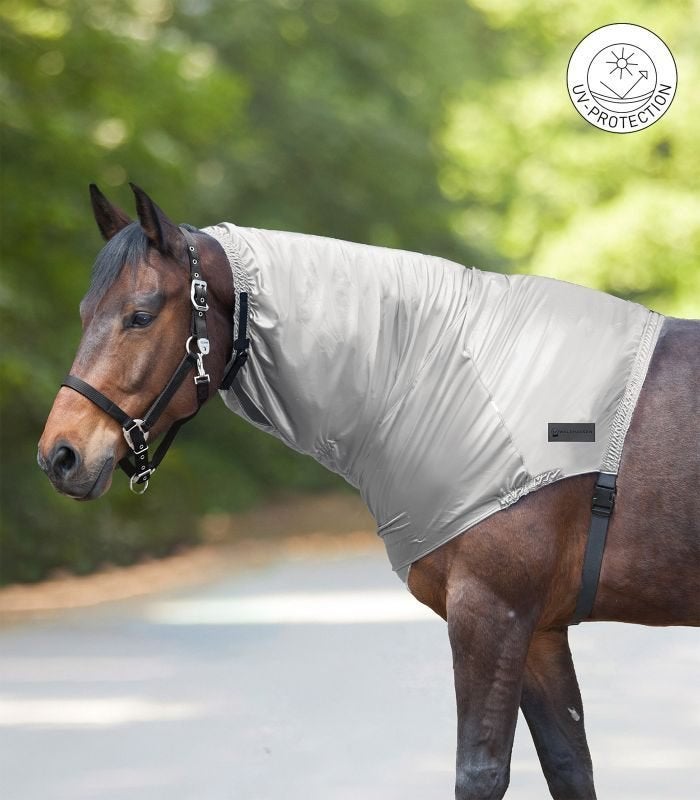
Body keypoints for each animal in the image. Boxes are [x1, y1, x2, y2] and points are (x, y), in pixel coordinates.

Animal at [38, 184, 699, 800]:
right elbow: (570, 768)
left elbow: (480, 773)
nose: (60, 455)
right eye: (84, 311)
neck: (452, 374)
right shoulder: (539, 631)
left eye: (141, 314)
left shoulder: (492, 614)